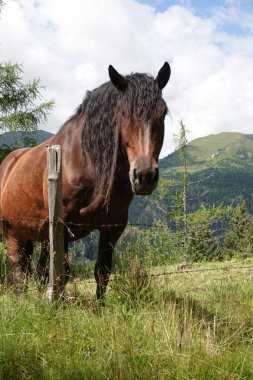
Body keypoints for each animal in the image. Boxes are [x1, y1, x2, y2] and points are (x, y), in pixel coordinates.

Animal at [0, 62, 171, 298]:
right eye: (123, 113)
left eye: (163, 113)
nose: (145, 175)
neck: (86, 162)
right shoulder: (60, 228)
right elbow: (59, 275)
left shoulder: (112, 227)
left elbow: (102, 272)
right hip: (13, 233)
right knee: (20, 274)